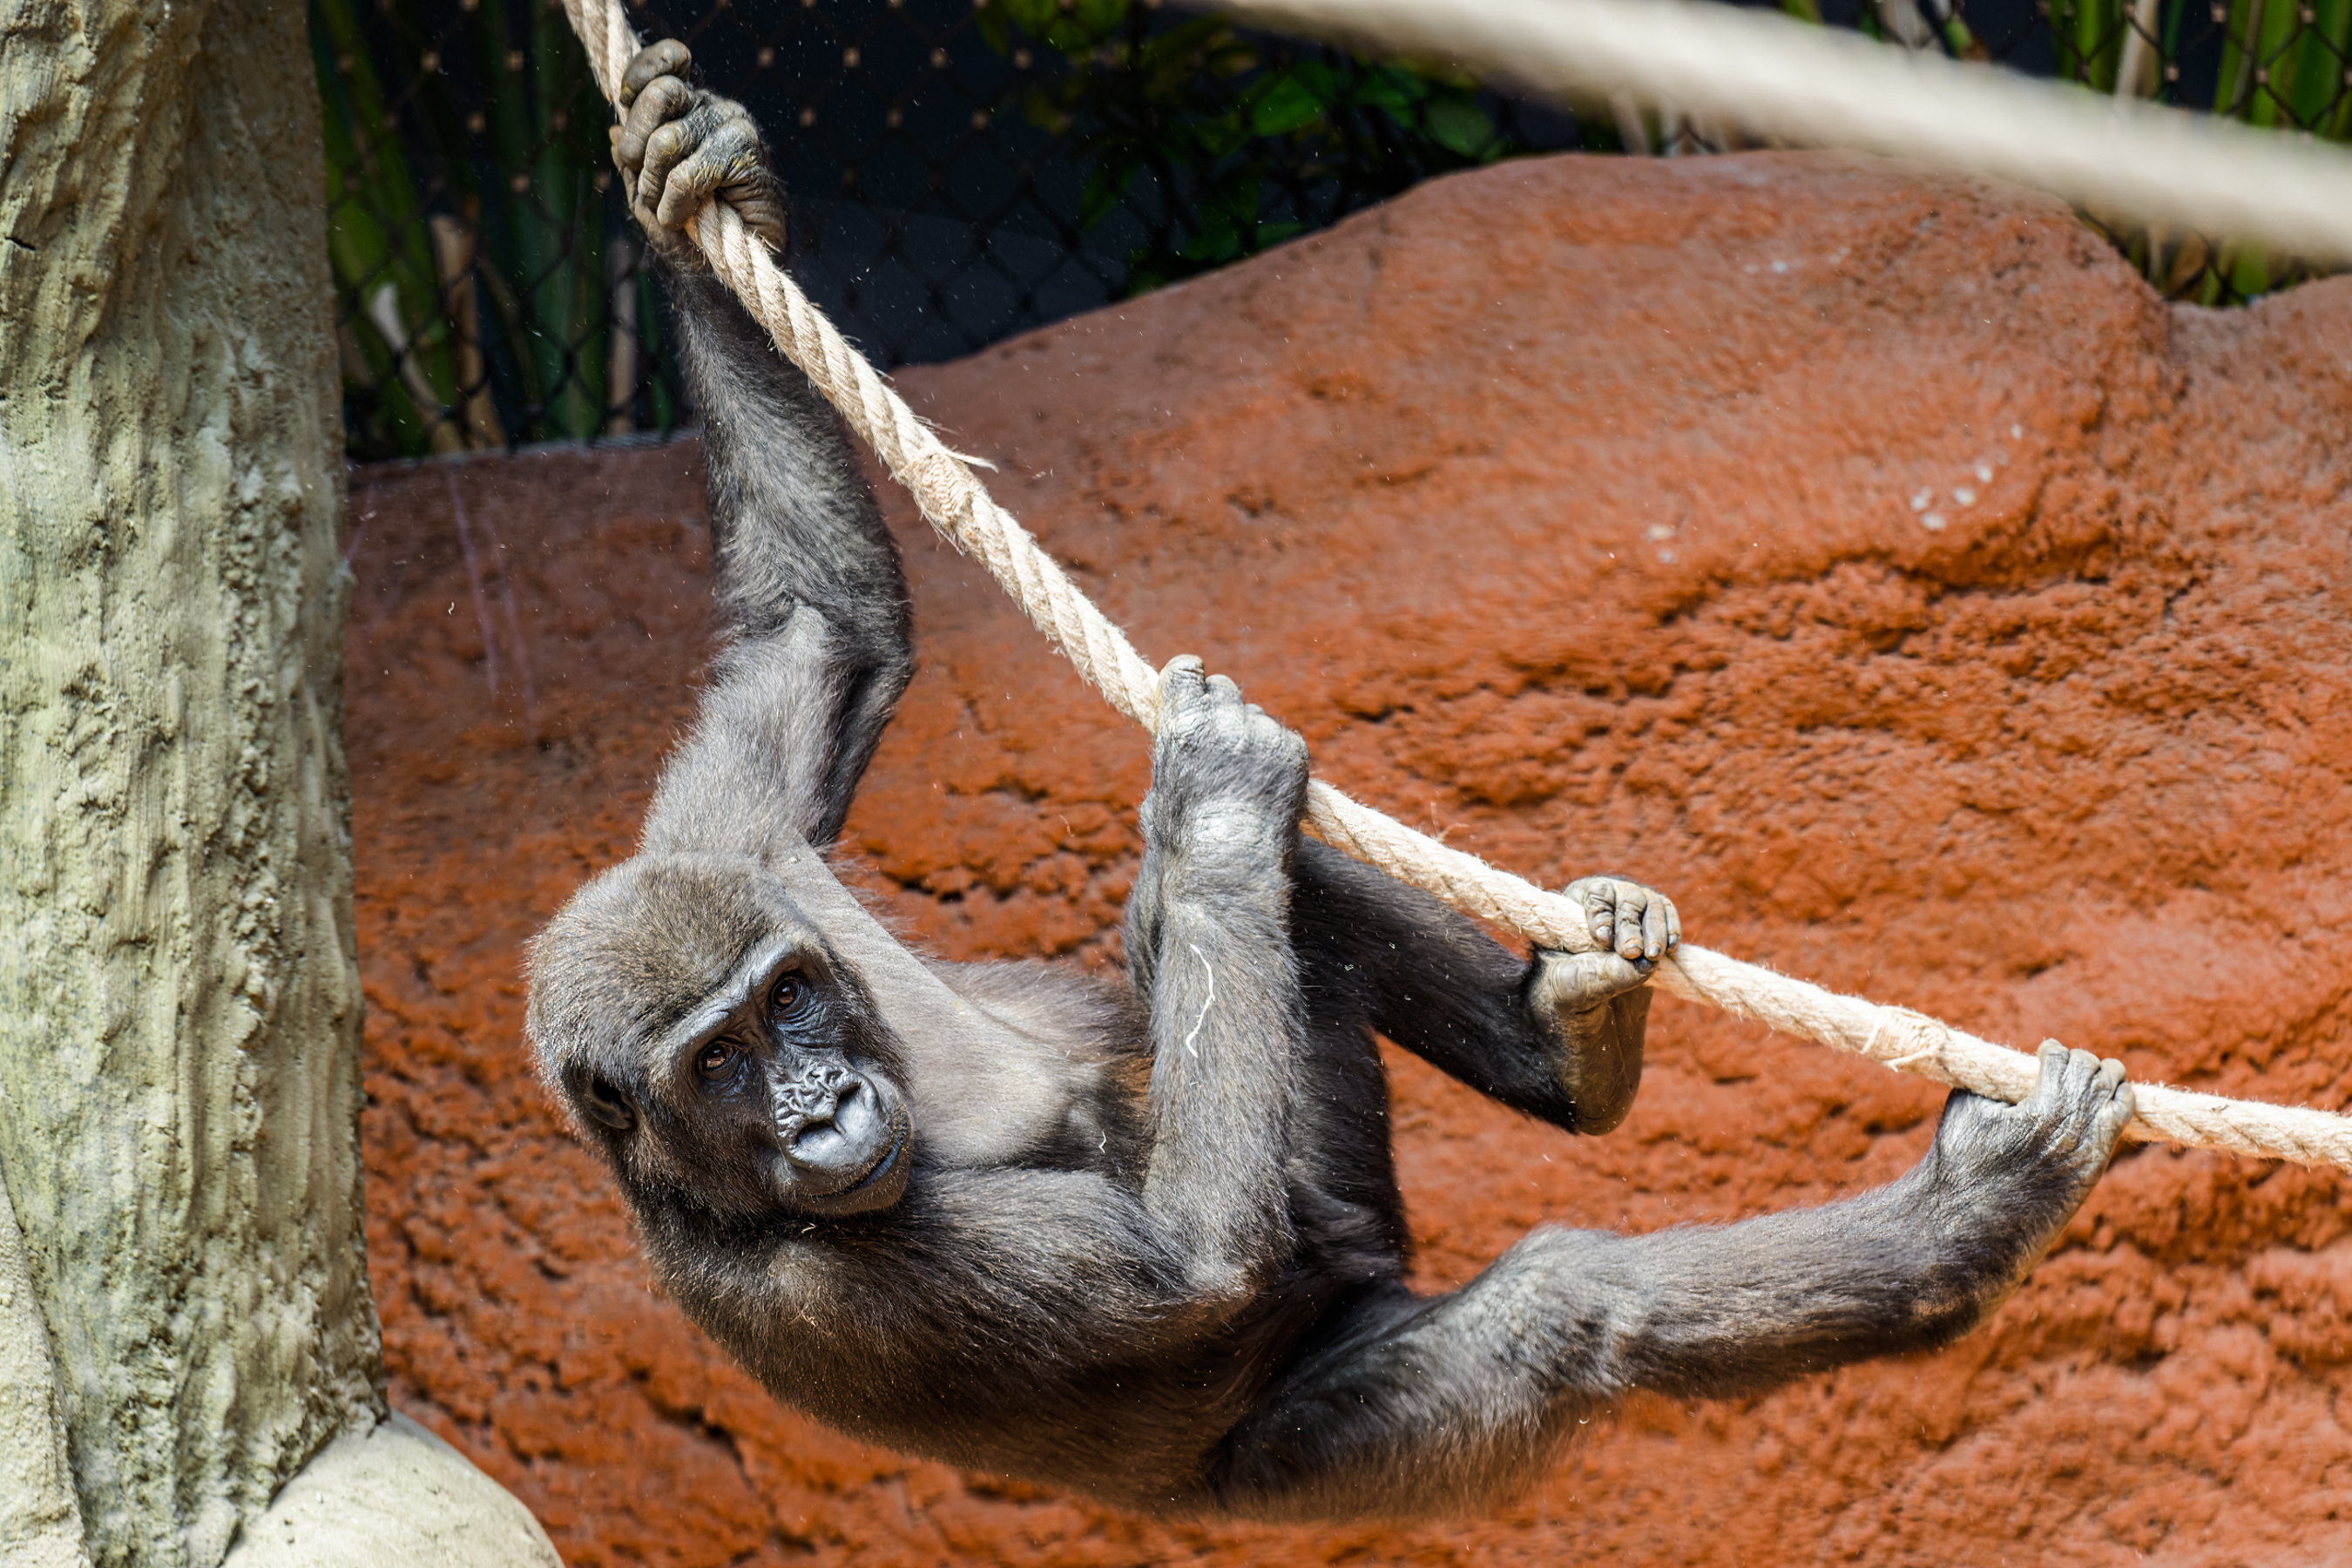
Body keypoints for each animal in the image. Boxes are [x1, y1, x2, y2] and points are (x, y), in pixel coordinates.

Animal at [524, 45, 2145, 1523]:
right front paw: (1215, 795)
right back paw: (1959, 1227)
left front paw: (689, 184)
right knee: (1560, 1316)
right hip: (1314, 1468)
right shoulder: (813, 1290)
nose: (815, 1102)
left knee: (1226, 909)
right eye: (718, 1069)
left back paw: (1571, 1040)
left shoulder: (731, 849)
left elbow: (824, 624)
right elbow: (1193, 1259)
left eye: (789, 1004)